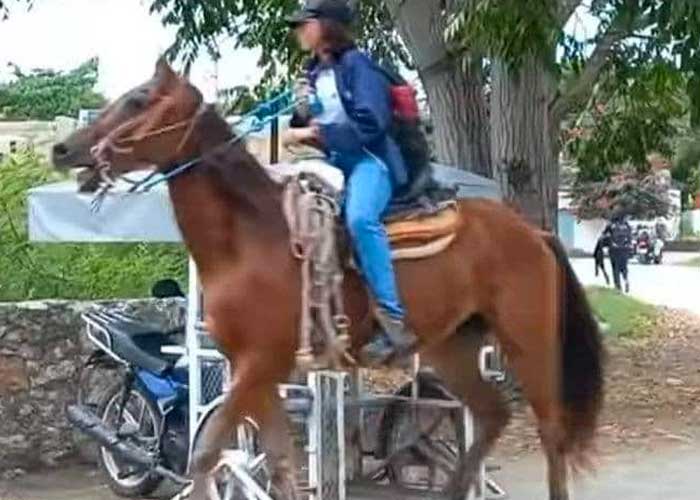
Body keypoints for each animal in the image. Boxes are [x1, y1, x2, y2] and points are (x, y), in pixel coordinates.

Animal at [53, 60, 600, 500]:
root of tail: (534, 232)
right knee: (492, 415)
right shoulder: (260, 372)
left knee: (552, 430)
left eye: (139, 99)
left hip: (529, 341)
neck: (251, 241)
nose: (62, 149)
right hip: (453, 346)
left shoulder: (257, 365)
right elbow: (276, 465)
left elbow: (206, 453)